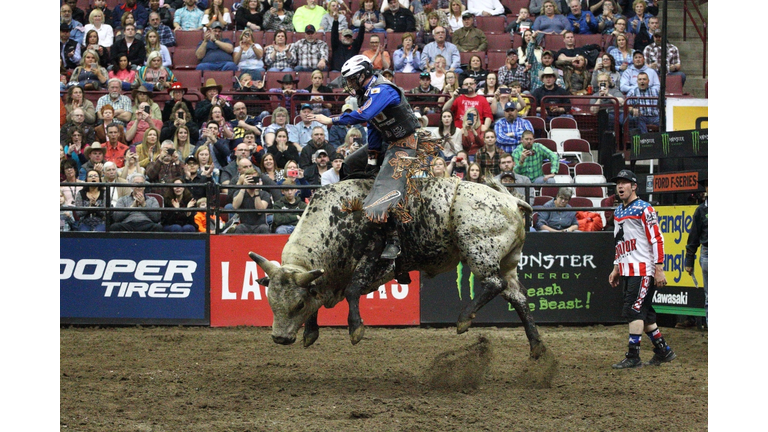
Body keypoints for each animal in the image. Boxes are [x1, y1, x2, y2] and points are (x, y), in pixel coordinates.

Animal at [250, 176, 544, 358]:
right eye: (270, 302)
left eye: (297, 304)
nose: (279, 338)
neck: (338, 218)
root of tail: (510, 201)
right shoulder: (329, 276)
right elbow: (319, 295)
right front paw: (310, 332)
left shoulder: (374, 259)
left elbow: (352, 291)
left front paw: (355, 329)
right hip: (508, 261)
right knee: (517, 297)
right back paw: (537, 346)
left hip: (478, 250)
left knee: (494, 283)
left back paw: (463, 319)